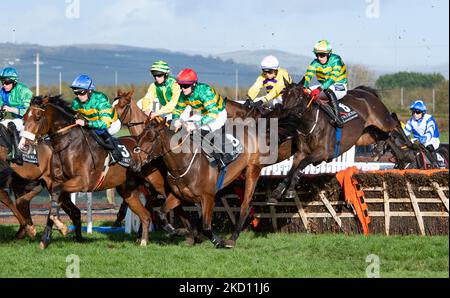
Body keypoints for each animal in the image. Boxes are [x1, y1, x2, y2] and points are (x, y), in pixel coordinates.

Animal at [20, 96, 153, 249]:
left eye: (38, 117)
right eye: (24, 118)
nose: (23, 145)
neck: (70, 145)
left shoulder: (83, 182)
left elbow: (57, 195)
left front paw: (61, 227)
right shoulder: (57, 182)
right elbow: (55, 200)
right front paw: (45, 239)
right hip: (128, 190)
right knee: (145, 215)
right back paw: (142, 240)